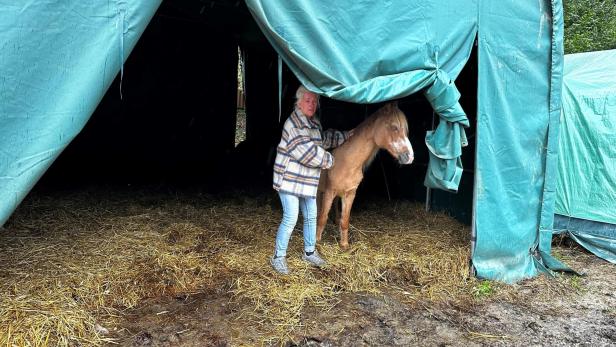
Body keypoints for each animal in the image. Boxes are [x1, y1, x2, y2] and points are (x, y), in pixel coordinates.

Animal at [318, 102, 414, 251]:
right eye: (394, 127)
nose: (409, 157)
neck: (346, 161)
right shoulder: (329, 192)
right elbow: (322, 217)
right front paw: (316, 241)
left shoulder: (350, 193)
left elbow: (345, 220)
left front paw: (344, 244)